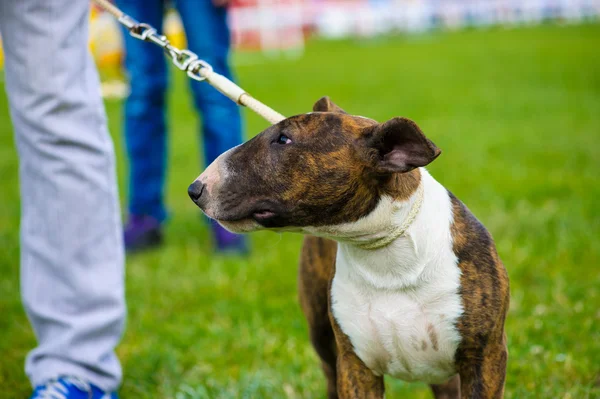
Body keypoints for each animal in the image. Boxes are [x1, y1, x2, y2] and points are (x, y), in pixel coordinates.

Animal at [190, 97, 508, 399]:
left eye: (284, 139)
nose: (195, 189)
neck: (389, 259)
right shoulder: (355, 366)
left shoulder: (485, 358)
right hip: (322, 336)